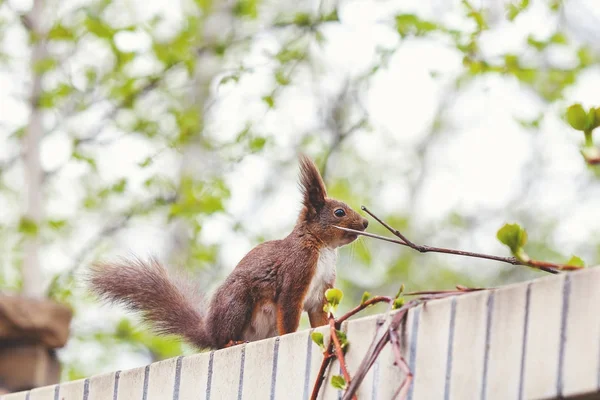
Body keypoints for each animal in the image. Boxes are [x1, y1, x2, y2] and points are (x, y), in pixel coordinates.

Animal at [89, 155, 368, 348]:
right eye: (339, 213)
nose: (365, 223)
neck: (323, 248)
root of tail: (209, 332)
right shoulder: (296, 273)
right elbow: (289, 312)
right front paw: (291, 335)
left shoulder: (322, 290)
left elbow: (320, 318)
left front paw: (326, 329)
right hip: (237, 301)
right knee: (223, 340)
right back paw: (230, 342)